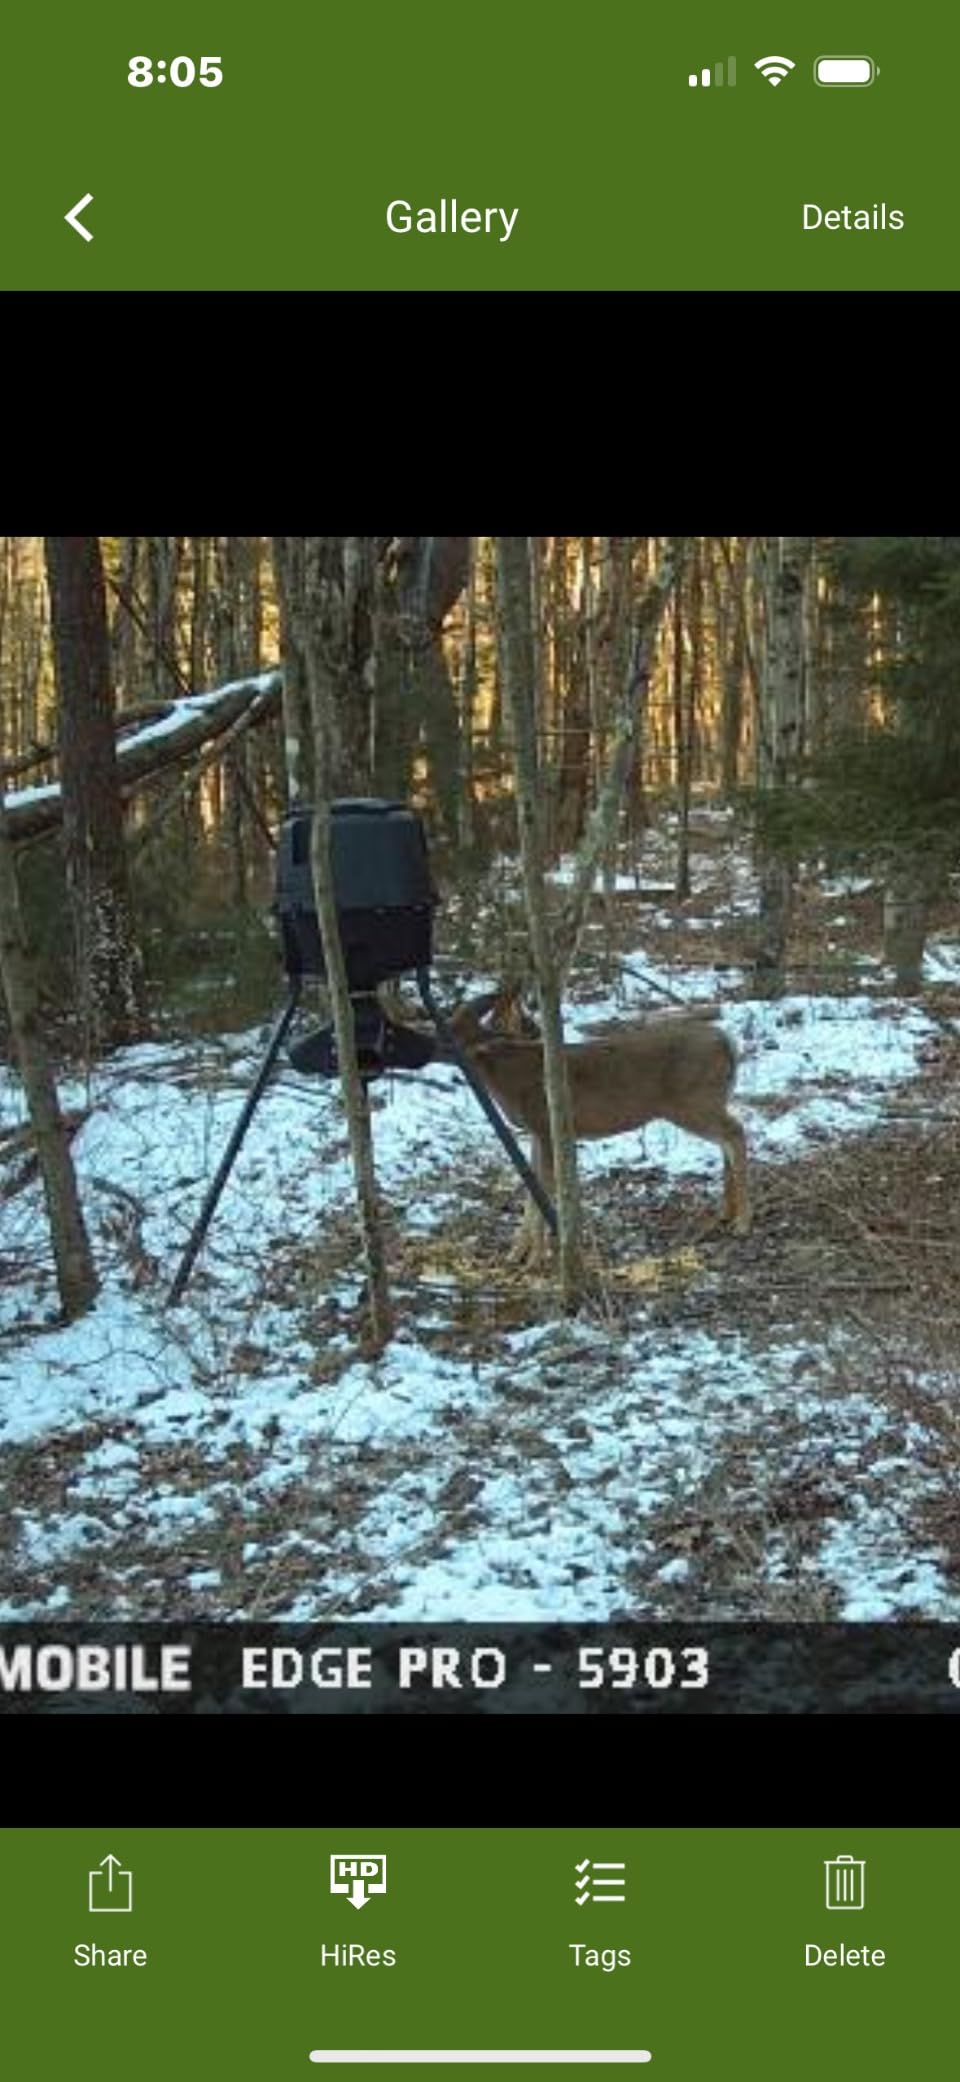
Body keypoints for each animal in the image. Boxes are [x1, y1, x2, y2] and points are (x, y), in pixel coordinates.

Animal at [440, 989, 751, 1264]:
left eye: (453, 1033)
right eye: (449, 1022)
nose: (431, 1042)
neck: (511, 1079)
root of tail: (729, 1043)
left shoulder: (546, 1124)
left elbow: (544, 1187)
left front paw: (536, 1258)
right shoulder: (537, 1131)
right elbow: (531, 1186)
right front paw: (516, 1254)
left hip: (693, 1101)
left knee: (736, 1133)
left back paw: (742, 1222)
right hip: (708, 1100)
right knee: (727, 1140)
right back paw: (726, 1213)